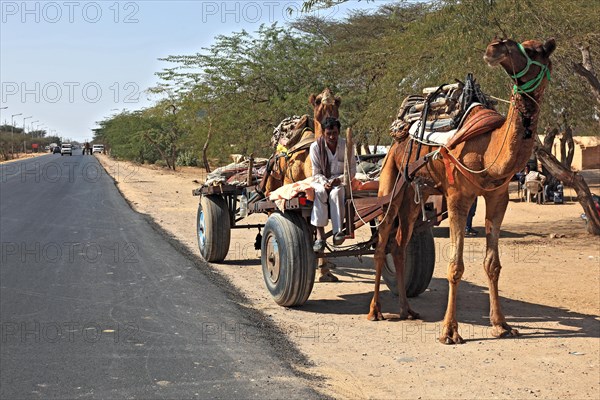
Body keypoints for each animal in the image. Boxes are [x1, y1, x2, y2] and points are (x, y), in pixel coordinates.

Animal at [370, 37, 556, 344]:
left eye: (532, 49)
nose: (494, 47)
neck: (489, 149)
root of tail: (399, 134)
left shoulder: (498, 197)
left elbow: (493, 264)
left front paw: (501, 325)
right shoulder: (458, 196)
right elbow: (455, 266)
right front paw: (449, 331)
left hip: (414, 195)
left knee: (400, 244)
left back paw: (407, 310)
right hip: (391, 179)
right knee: (383, 238)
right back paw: (375, 311)